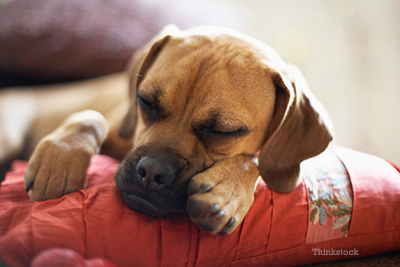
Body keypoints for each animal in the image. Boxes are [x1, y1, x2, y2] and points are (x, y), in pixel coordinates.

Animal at [0, 25, 332, 234]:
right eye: (145, 101)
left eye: (224, 131)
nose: (151, 172)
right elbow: (92, 117)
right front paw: (59, 160)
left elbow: (253, 161)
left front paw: (228, 191)